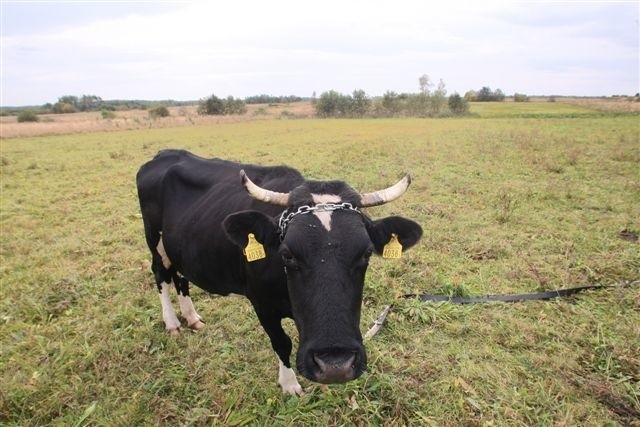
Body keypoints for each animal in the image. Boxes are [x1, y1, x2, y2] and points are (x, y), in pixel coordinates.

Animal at [136, 150, 420, 394]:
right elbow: (282, 342)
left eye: (366, 253)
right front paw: (289, 384)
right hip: (154, 241)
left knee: (180, 277)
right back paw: (172, 322)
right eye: (287, 254)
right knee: (161, 275)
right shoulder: (262, 305)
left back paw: (191, 317)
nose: (335, 366)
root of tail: (165, 153)